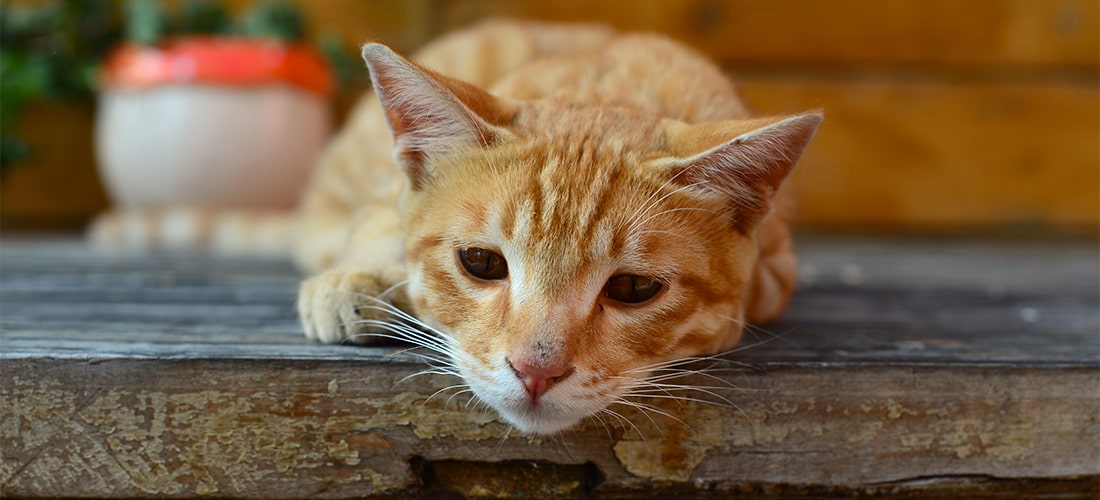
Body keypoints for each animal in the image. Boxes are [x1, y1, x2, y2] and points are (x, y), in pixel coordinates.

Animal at [297, 20, 822, 435]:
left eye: (634, 288)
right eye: (480, 262)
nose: (535, 372)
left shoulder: (777, 268)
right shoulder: (387, 191)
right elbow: (380, 221)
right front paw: (360, 276)